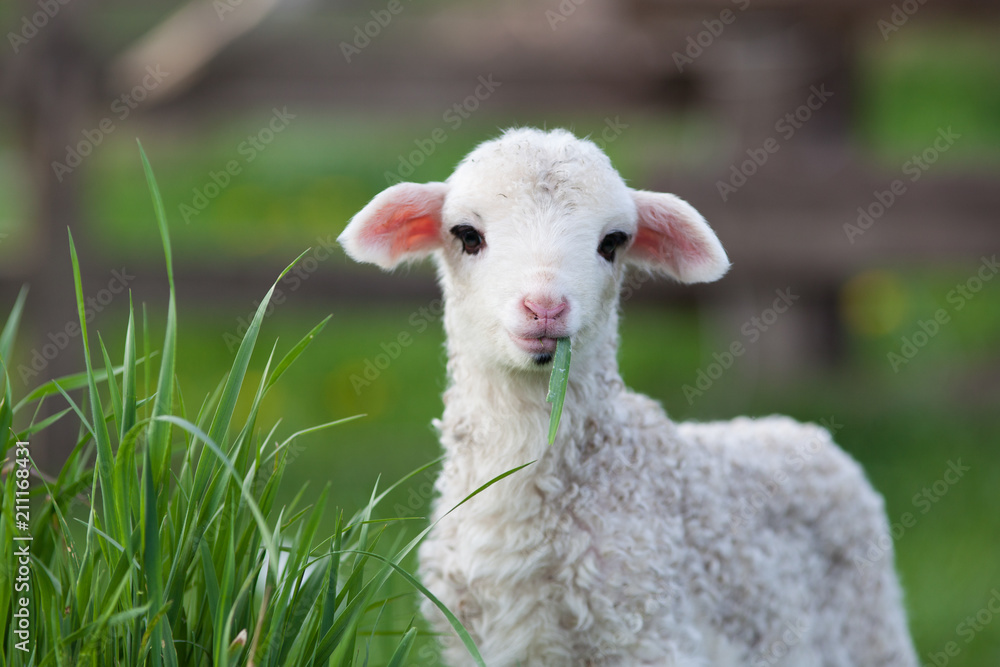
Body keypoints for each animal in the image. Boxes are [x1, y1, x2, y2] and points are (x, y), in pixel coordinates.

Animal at [338, 127, 917, 666]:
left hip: (874, 627)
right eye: (466, 235)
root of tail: (796, 429)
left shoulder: (652, 635)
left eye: (613, 242)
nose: (544, 307)